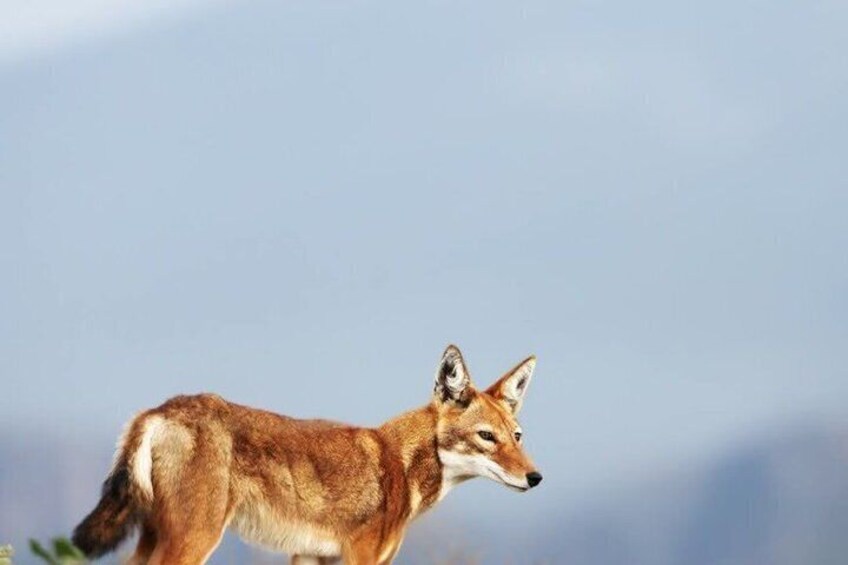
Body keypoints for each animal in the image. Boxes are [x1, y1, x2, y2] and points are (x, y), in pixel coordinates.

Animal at [72, 345, 542, 564]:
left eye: (517, 437)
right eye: (487, 437)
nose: (535, 478)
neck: (401, 465)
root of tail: (156, 410)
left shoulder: (312, 555)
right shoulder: (362, 557)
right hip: (192, 542)